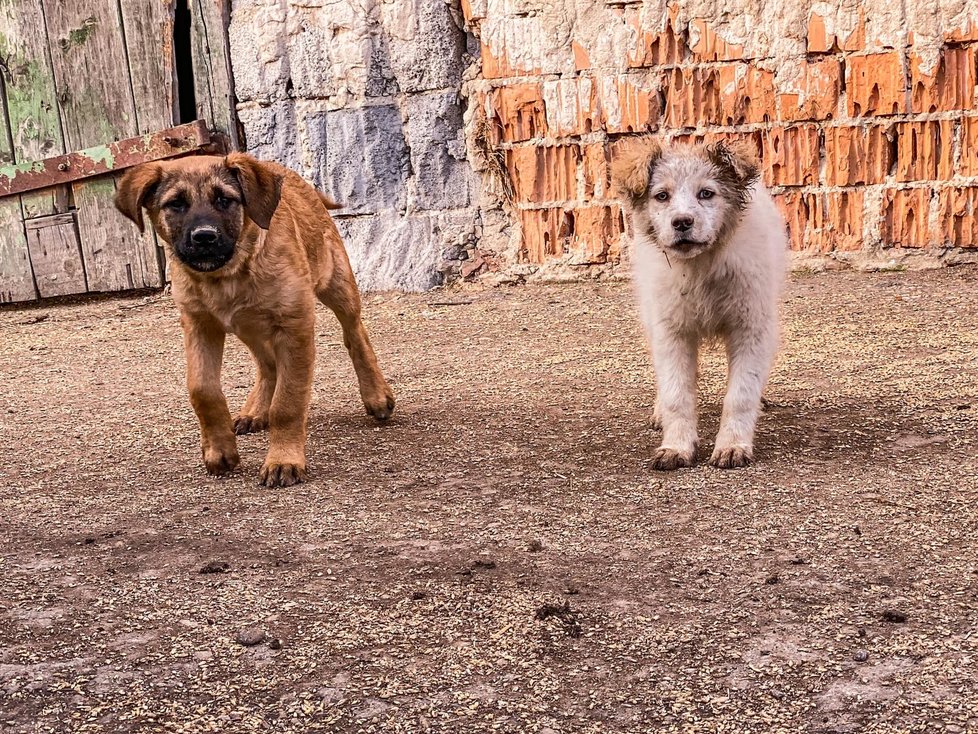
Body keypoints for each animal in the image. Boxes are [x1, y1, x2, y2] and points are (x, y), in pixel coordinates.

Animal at [113, 155, 388, 488]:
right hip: (248, 326)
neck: (228, 275)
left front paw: (283, 460)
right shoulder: (199, 324)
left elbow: (288, 401)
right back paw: (256, 410)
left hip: (336, 283)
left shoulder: (295, 324)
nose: (204, 237)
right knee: (267, 364)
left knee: (355, 334)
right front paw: (219, 449)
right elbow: (202, 389)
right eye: (176, 204)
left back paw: (376, 394)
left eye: (224, 200)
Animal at [612, 138, 788, 472]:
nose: (682, 222)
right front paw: (676, 447)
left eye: (706, 193)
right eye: (662, 196)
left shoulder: (751, 326)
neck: (700, 267)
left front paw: (732, 446)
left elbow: (741, 393)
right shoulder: (671, 330)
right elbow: (676, 393)